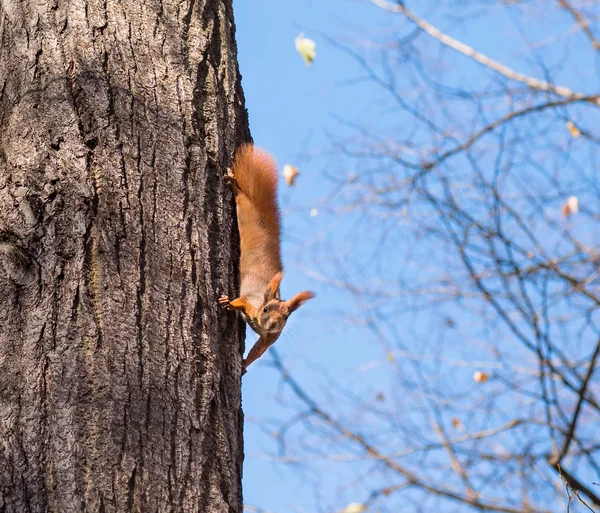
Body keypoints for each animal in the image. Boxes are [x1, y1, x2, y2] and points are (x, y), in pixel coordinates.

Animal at [219, 144, 314, 372]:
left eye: (286, 316)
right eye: (266, 309)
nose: (273, 324)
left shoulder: (271, 338)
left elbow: (258, 351)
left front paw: (244, 365)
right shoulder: (251, 303)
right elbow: (240, 302)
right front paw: (228, 302)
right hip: (244, 212)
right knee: (242, 198)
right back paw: (234, 184)